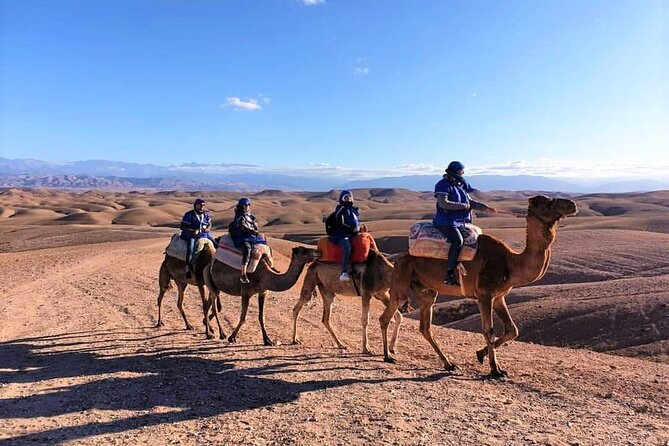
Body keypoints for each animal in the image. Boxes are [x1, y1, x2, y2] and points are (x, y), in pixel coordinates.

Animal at [378, 195, 576, 376]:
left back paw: (449, 364)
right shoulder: (485, 294)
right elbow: (489, 330)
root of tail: (400, 258)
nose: (571, 204)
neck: (511, 263)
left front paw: (481, 355)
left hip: (426, 290)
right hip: (402, 280)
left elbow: (513, 330)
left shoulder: (499, 296)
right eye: (545, 203)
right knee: (386, 317)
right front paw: (495, 369)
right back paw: (388, 356)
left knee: (425, 327)